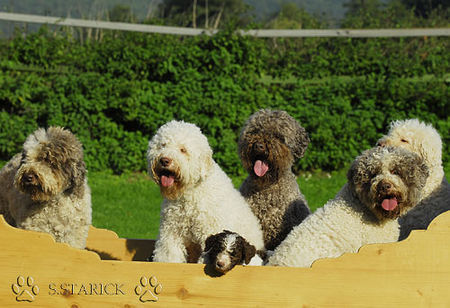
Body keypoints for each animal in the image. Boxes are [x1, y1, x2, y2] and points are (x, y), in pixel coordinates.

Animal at [148, 120, 264, 262]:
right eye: (162, 145)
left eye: (183, 150)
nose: (164, 160)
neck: (189, 193)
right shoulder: (170, 233)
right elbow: (168, 257)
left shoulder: (210, 231)